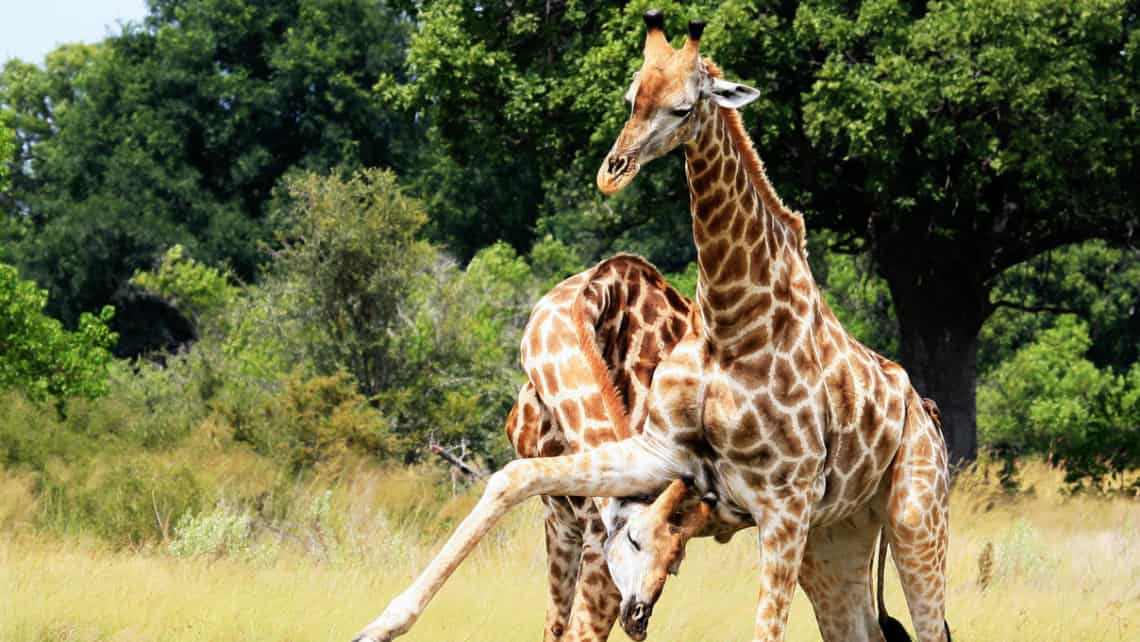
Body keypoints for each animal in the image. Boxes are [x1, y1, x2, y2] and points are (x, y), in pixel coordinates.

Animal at [348, 10, 953, 642]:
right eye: (631, 96)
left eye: (684, 108)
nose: (615, 171)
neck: (730, 326)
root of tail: (928, 413)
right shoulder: (650, 458)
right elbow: (513, 479)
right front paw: (379, 624)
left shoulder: (778, 501)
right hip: (837, 534)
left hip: (913, 515)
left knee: (929, 623)